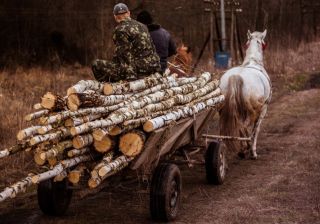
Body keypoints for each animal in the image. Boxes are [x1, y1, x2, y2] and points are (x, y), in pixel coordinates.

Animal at [219, 29, 272, 159]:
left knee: (234, 126)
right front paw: (253, 150)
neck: (253, 61)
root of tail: (236, 76)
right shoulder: (263, 109)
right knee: (244, 125)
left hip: (225, 110)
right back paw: (246, 149)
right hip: (249, 110)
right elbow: (255, 129)